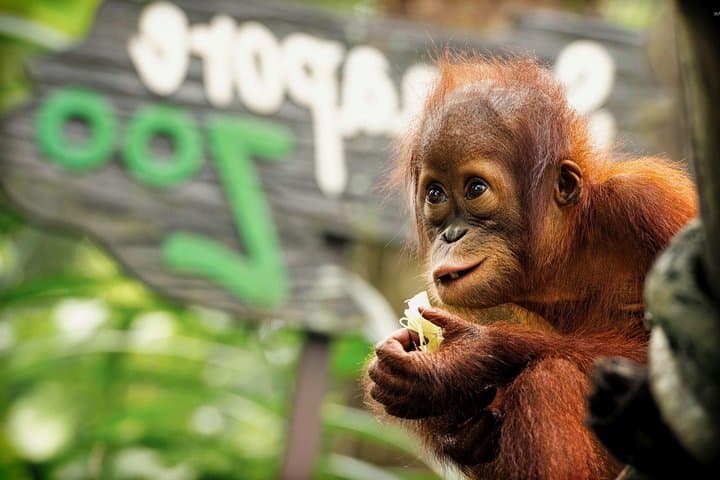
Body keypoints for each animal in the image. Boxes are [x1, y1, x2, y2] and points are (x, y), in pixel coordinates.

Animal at [365, 56, 697, 480]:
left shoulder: (653, 205)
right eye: (436, 194)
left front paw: (463, 361)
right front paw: (448, 421)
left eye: (475, 189)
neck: (568, 250)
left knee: (549, 377)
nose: (452, 234)